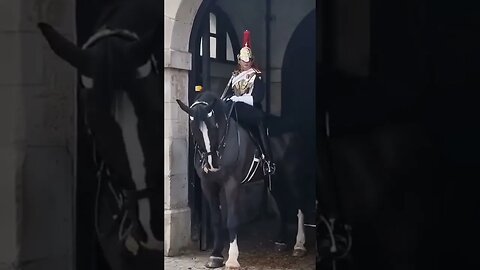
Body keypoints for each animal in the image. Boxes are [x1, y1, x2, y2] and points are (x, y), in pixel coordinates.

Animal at [176, 92, 316, 268]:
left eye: (214, 126)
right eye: (194, 129)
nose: (212, 164)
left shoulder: (232, 184)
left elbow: (231, 220)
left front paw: (232, 259)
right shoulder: (208, 185)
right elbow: (216, 220)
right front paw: (215, 255)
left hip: (293, 178)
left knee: (300, 208)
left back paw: (299, 245)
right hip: (274, 180)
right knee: (282, 204)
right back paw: (281, 241)